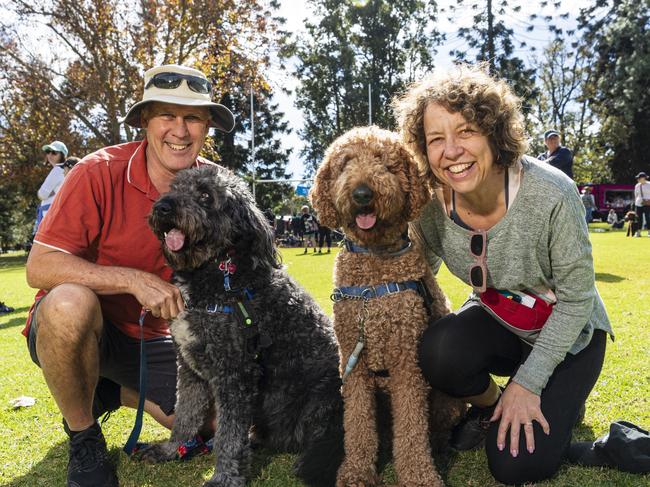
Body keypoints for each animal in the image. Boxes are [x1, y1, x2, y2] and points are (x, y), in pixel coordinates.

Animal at [137, 165, 344, 487]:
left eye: (205, 195)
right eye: (175, 187)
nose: (163, 207)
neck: (215, 274)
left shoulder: (236, 373)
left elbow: (229, 435)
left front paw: (224, 476)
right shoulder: (189, 367)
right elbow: (185, 413)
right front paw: (172, 449)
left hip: (323, 397)